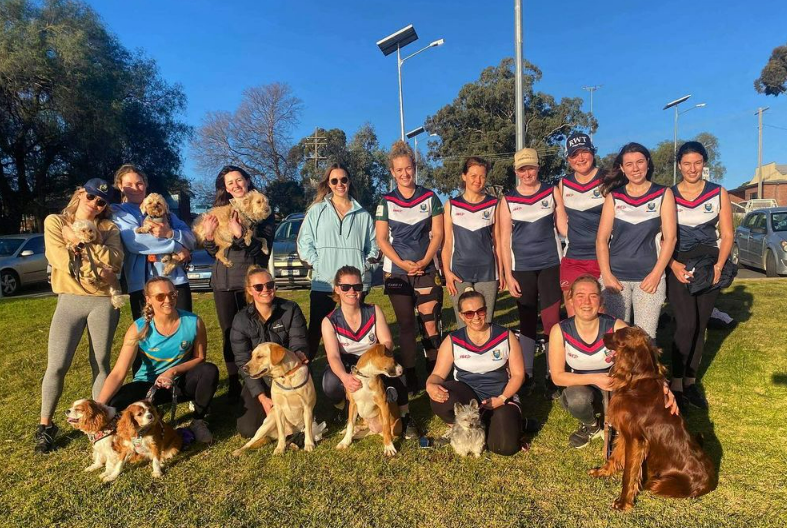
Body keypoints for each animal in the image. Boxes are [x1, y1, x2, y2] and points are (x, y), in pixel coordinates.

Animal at [592, 328, 716, 510]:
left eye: (617, 336)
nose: (603, 336)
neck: (636, 380)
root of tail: (711, 482)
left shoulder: (636, 440)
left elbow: (629, 473)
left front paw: (623, 503)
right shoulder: (626, 433)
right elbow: (614, 455)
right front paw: (602, 471)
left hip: (660, 483)